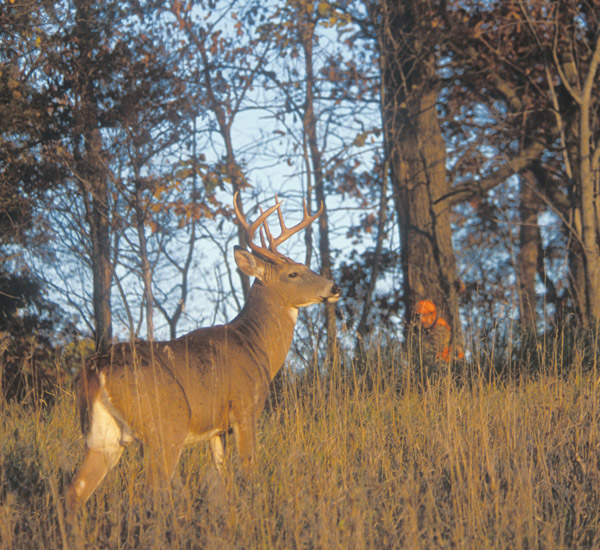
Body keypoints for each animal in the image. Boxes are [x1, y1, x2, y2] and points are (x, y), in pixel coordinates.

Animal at [66, 194, 340, 528]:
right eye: (293, 273)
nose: (334, 288)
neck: (256, 345)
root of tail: (95, 369)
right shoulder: (244, 408)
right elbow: (248, 471)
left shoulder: (216, 428)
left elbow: (223, 477)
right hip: (166, 425)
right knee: (154, 490)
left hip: (103, 436)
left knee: (75, 491)